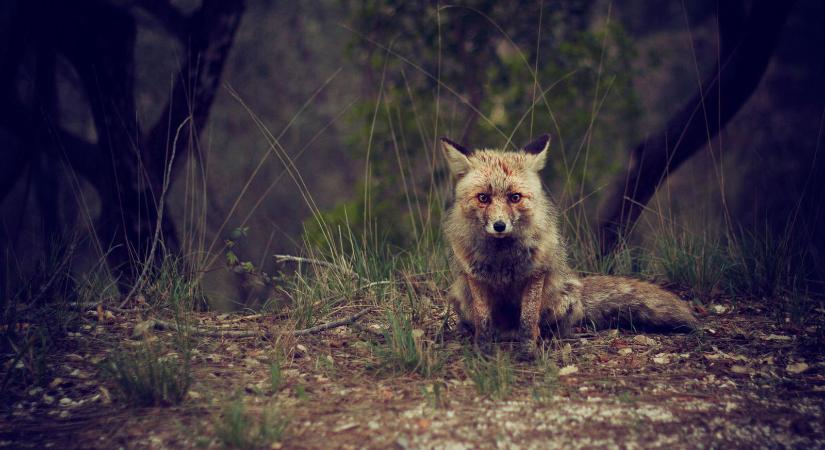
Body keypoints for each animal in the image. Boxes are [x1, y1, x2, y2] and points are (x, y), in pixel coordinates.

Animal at [440, 135, 700, 346]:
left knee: (558, 327)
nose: (500, 226)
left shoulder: (536, 273)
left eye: (515, 197)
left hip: (563, 303)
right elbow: (483, 319)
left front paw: (528, 345)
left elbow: (528, 318)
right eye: (483, 198)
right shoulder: (475, 275)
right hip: (460, 297)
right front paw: (482, 345)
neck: (502, 257)